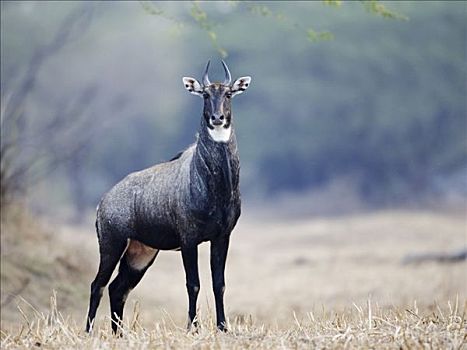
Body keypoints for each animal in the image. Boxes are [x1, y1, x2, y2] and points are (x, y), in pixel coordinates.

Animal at [85, 60, 250, 334]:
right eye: (205, 95)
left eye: (228, 94)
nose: (217, 118)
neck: (216, 187)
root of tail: (103, 202)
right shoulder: (188, 239)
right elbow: (193, 283)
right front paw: (193, 327)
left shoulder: (222, 237)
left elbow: (219, 283)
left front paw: (222, 327)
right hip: (111, 245)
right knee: (98, 284)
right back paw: (88, 332)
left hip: (140, 254)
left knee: (118, 288)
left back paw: (119, 334)